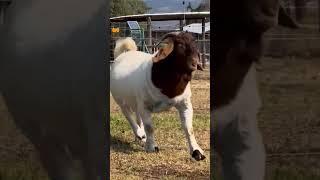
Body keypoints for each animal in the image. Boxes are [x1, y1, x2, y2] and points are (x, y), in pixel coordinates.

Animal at [109, 32, 205, 160]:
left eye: (195, 43)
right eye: (180, 45)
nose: (195, 63)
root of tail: (125, 53)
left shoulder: (185, 104)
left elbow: (189, 128)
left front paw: (197, 152)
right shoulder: (145, 106)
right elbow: (149, 127)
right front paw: (152, 147)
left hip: (136, 102)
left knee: (138, 117)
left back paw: (141, 139)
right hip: (121, 101)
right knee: (128, 116)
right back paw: (139, 133)